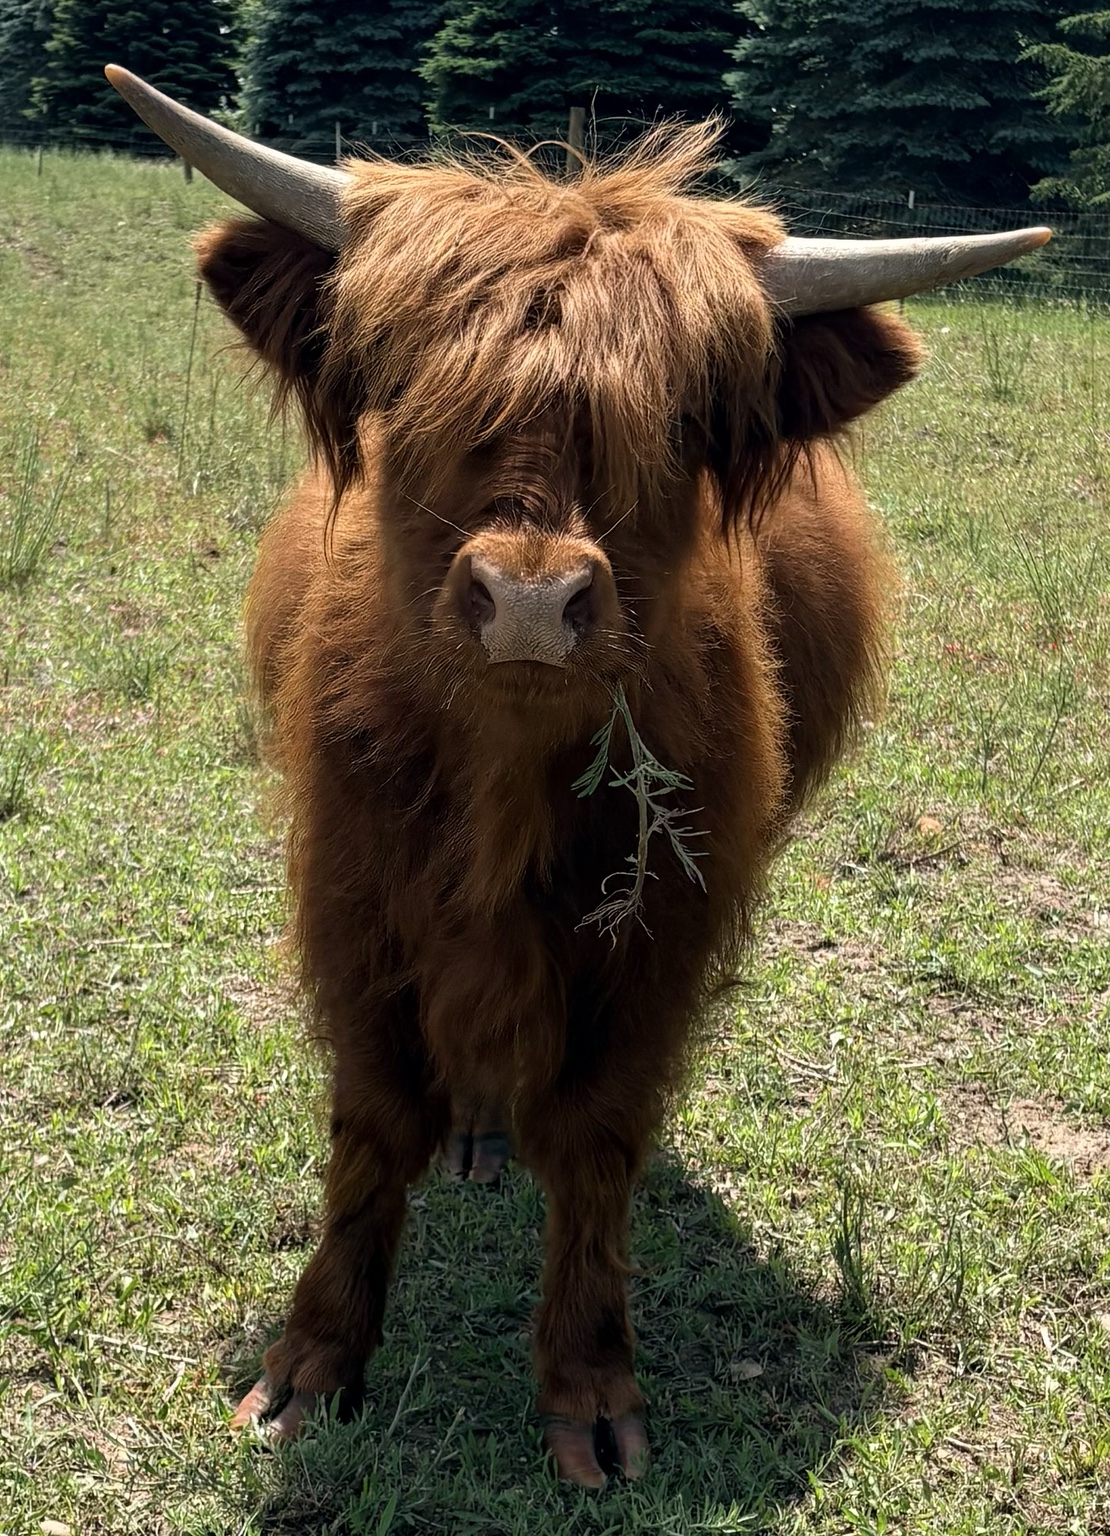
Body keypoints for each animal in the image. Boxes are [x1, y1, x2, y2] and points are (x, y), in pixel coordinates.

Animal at [107, 66, 1048, 1488]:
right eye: (412, 391)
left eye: (679, 425)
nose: (531, 602)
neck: (504, 776)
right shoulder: (353, 898)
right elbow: (373, 1123)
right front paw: (311, 1363)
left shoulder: (660, 937)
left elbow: (599, 1136)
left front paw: (590, 1391)